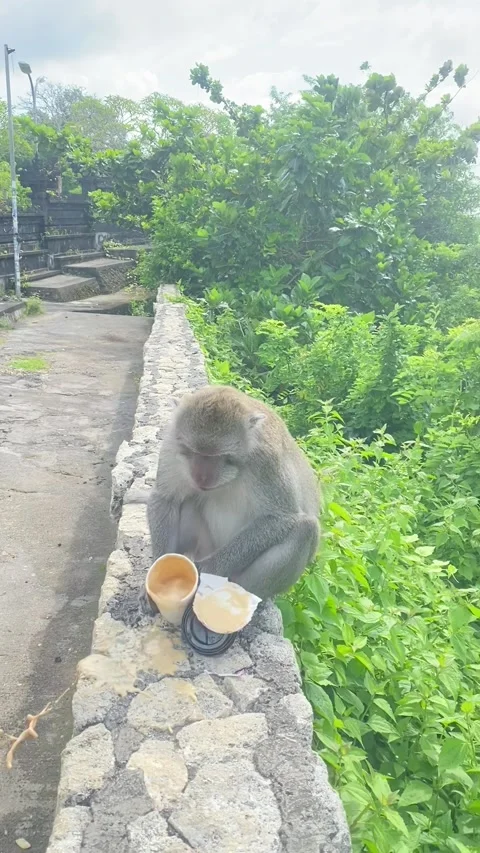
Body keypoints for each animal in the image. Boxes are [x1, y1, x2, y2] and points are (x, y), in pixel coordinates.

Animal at [146, 385, 321, 602]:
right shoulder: (172, 441)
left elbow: (280, 517)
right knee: (189, 498)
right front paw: (158, 567)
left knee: (306, 529)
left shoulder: (267, 460)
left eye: (218, 456)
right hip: (206, 545)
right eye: (193, 451)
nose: (201, 477)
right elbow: (166, 498)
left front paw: (205, 569)